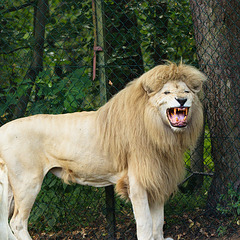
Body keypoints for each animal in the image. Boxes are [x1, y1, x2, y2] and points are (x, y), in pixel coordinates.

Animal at [0, 62, 206, 240]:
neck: (162, 133)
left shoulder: (158, 180)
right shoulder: (137, 184)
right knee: (17, 223)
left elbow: (158, 224)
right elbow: (146, 225)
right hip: (27, 182)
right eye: (167, 92)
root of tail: (3, 129)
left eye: (186, 91)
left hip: (9, 187)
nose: (182, 100)